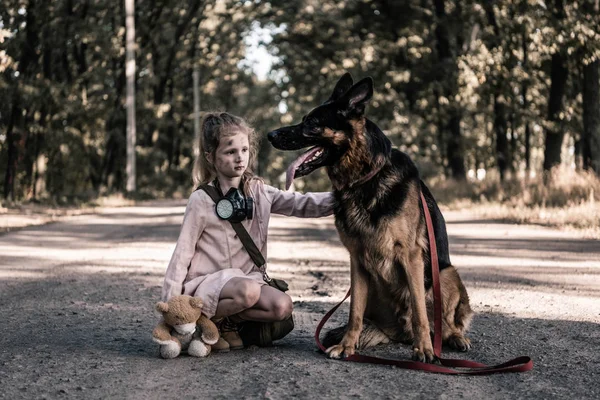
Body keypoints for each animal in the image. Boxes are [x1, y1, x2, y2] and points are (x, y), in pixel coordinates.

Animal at [268, 73, 474, 364]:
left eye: (311, 123)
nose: (270, 134)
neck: (364, 180)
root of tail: (399, 331)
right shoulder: (356, 259)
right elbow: (354, 311)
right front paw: (346, 346)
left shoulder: (411, 256)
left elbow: (421, 312)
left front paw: (424, 349)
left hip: (444, 274)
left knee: (443, 322)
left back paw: (452, 338)